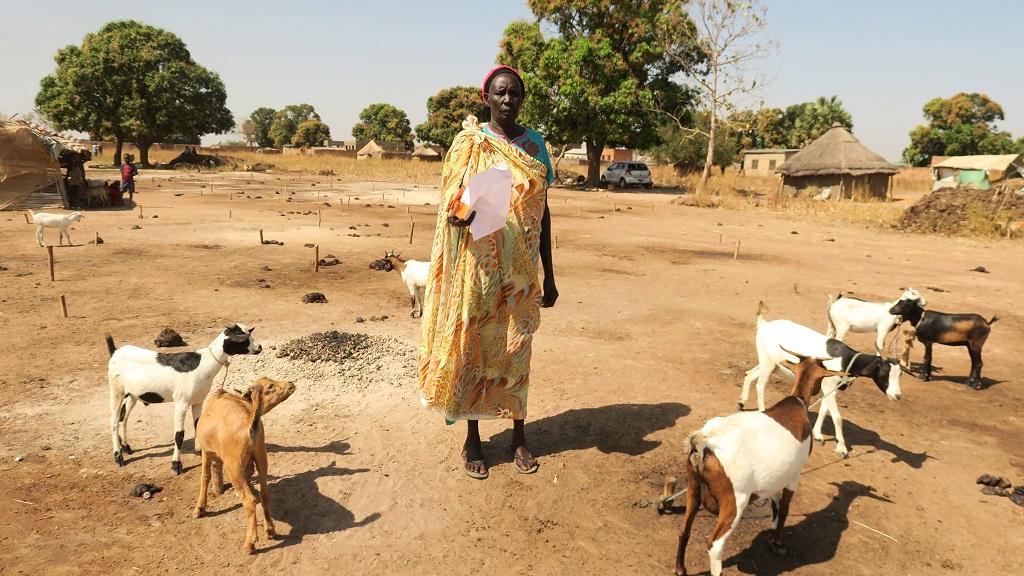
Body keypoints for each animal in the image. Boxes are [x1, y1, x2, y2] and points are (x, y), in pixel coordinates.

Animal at [106, 324, 263, 474]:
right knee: (114, 421)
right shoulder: (181, 403)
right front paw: (176, 465)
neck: (202, 364)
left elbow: (198, 424)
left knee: (124, 418)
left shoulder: (198, 401)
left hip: (132, 394)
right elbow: (179, 435)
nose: (259, 347)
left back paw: (126, 447)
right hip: (116, 391)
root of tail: (115, 352)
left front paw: (200, 451)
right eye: (244, 338)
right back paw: (118, 456)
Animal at [193, 377, 296, 554]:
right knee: (264, 494)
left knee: (250, 500)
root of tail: (249, 422)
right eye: (270, 386)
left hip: (233, 467)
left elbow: (205, 477)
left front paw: (199, 509)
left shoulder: (206, 451)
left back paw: (250, 543)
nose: (291, 383)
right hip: (261, 457)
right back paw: (270, 531)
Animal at [675, 357, 845, 576]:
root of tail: (705, 441)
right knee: (715, 545)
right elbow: (784, 508)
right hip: (736, 500)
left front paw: (772, 536)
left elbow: (775, 504)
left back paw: (680, 569)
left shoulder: (772, 480)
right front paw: (778, 543)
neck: (797, 404)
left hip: (693, 486)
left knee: (684, 529)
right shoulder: (794, 475)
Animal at [740, 301, 903, 457]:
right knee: (760, 385)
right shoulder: (829, 385)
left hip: (771, 365)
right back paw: (762, 410)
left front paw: (818, 435)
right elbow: (837, 417)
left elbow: (824, 410)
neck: (846, 359)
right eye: (884, 373)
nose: (897, 395)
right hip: (768, 364)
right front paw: (842, 448)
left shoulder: (829, 388)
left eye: (900, 374)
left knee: (749, 374)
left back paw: (741, 403)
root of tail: (764, 325)